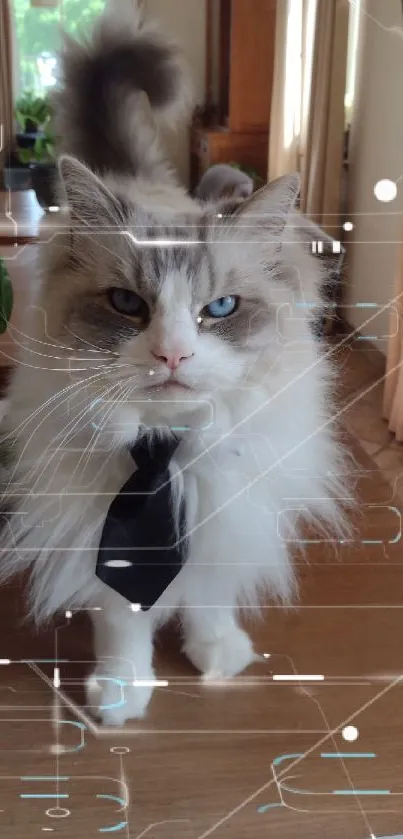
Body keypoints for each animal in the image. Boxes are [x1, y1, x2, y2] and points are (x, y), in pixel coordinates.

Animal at [0, 0, 348, 724]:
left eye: (220, 307)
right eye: (127, 304)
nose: (172, 353)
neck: (164, 451)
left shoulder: (222, 519)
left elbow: (208, 597)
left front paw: (216, 656)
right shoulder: (98, 532)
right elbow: (122, 621)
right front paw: (121, 693)